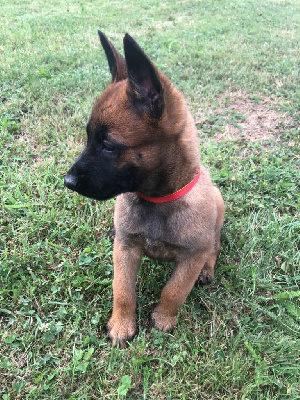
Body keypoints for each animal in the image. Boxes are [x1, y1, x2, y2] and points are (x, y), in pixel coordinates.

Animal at [65, 32, 225, 346]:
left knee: (215, 244)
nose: (68, 182)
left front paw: (163, 318)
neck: (157, 200)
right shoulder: (125, 249)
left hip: (219, 203)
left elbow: (174, 290)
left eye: (109, 145)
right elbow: (123, 290)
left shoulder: (191, 257)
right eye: (88, 138)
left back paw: (208, 269)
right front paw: (122, 324)